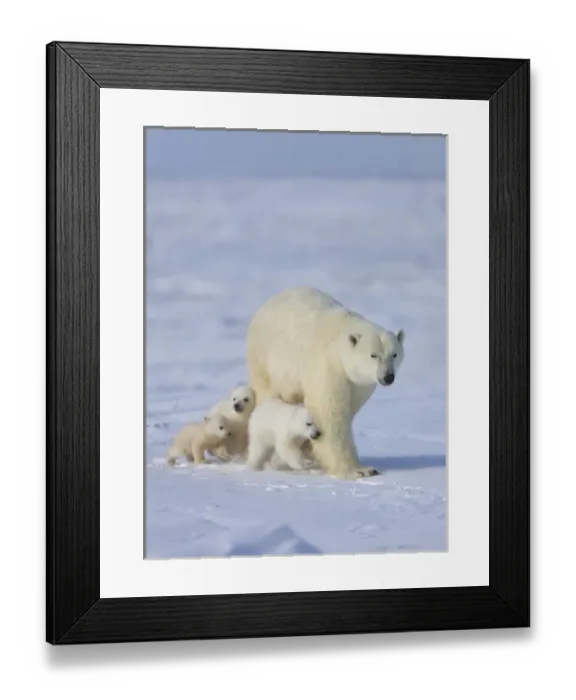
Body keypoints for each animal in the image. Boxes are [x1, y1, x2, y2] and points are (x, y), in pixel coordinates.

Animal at [246, 286, 405, 480]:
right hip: (267, 361)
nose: (388, 377)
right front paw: (359, 470)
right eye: (373, 355)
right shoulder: (327, 366)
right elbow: (329, 411)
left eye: (394, 354)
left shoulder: (359, 384)